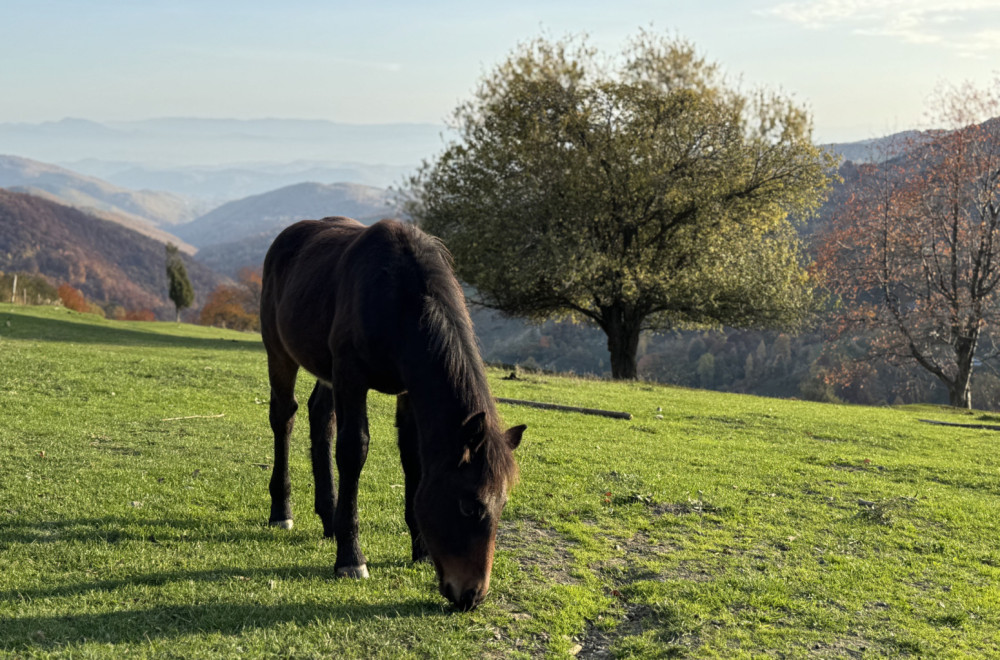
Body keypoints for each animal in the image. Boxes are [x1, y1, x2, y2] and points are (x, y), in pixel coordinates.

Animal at [258, 215, 528, 608]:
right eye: (469, 505)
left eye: (502, 505)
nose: (472, 596)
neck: (399, 301)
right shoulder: (351, 375)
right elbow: (353, 450)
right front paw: (350, 558)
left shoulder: (406, 390)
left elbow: (412, 459)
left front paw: (420, 550)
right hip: (279, 351)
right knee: (284, 417)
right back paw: (282, 511)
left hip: (326, 371)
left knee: (320, 418)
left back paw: (328, 516)